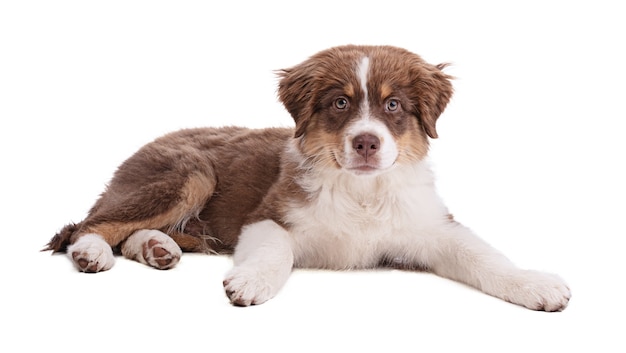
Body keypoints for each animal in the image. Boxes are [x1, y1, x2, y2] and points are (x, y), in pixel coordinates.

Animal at [44, 44, 572, 310]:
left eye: (393, 105)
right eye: (340, 102)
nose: (366, 142)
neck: (362, 191)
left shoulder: (429, 228)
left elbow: (483, 255)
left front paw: (535, 284)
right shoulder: (268, 215)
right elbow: (275, 249)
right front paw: (251, 282)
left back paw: (157, 247)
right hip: (187, 174)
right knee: (90, 224)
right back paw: (93, 253)